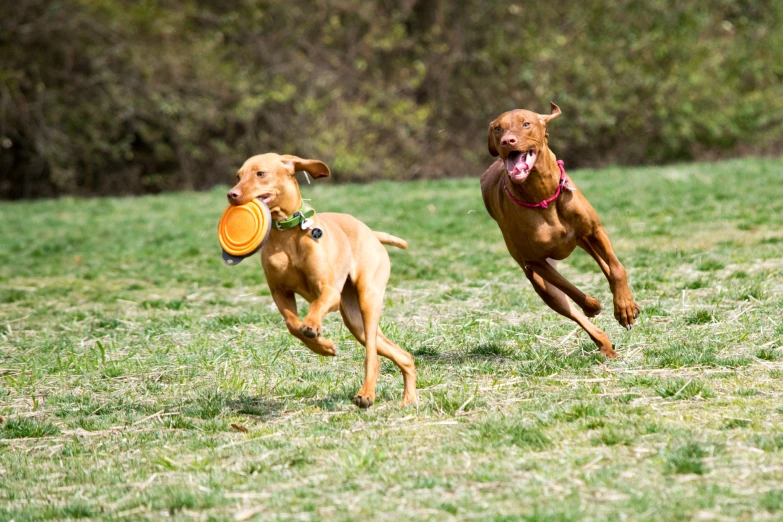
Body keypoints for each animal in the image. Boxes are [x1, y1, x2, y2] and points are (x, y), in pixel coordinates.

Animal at [228, 152, 416, 404]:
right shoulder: (280, 293)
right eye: (238, 176)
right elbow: (292, 325)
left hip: (368, 299)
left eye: (261, 173)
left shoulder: (329, 292)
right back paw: (409, 400)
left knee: (372, 356)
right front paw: (323, 346)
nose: (231, 195)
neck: (288, 234)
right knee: (403, 355)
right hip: (355, 321)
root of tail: (371, 233)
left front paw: (312, 327)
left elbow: (315, 308)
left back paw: (366, 394)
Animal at [480, 103, 640, 356]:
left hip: (583, 239)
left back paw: (626, 304)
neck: (543, 196)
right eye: (498, 128)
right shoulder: (535, 262)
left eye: (526, 123)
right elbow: (571, 290)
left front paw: (624, 307)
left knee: (604, 264)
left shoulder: (595, 231)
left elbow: (616, 269)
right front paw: (593, 305)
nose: (507, 141)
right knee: (570, 309)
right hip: (540, 283)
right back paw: (604, 345)